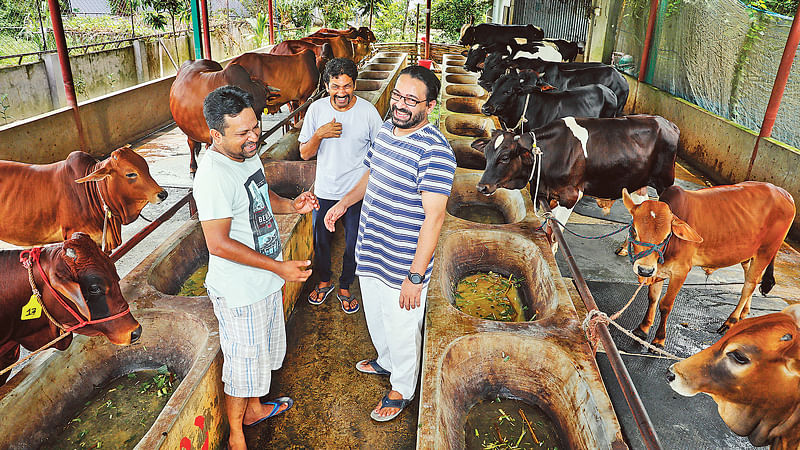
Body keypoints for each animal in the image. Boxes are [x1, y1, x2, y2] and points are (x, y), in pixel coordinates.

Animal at [620, 182, 796, 348]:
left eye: (667, 235)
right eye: (634, 230)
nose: (644, 269)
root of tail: (786, 194)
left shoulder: (680, 271)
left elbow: (665, 305)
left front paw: (659, 339)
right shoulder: (658, 271)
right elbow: (653, 298)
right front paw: (643, 328)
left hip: (765, 252)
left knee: (749, 285)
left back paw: (731, 320)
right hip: (748, 254)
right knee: (752, 280)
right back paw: (744, 312)